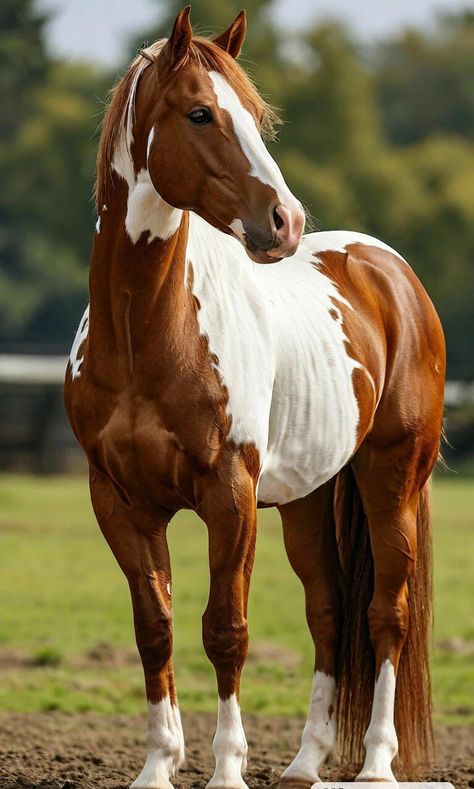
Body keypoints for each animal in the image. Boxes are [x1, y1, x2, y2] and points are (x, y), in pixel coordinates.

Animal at [65, 7, 446, 788]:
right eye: (200, 113)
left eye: (257, 116)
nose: (284, 222)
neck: (148, 335)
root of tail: (391, 272)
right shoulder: (118, 500)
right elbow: (155, 626)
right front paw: (157, 765)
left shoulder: (229, 495)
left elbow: (226, 629)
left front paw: (227, 769)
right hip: (306, 497)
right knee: (329, 610)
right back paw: (304, 763)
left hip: (391, 479)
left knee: (384, 613)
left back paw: (377, 764)